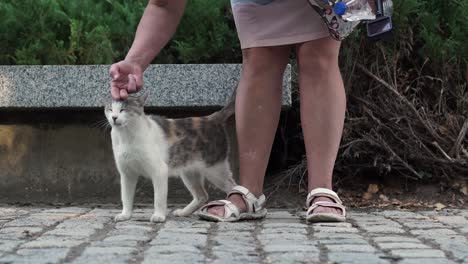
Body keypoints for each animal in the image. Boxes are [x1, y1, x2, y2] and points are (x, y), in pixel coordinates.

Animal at [106, 94, 238, 222]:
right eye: (110, 109)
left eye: (123, 109)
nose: (114, 117)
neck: (126, 136)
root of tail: (213, 118)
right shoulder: (127, 174)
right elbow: (126, 197)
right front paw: (125, 215)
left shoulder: (159, 170)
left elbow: (159, 198)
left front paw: (159, 216)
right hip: (190, 172)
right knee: (202, 196)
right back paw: (184, 212)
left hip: (215, 170)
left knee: (233, 187)